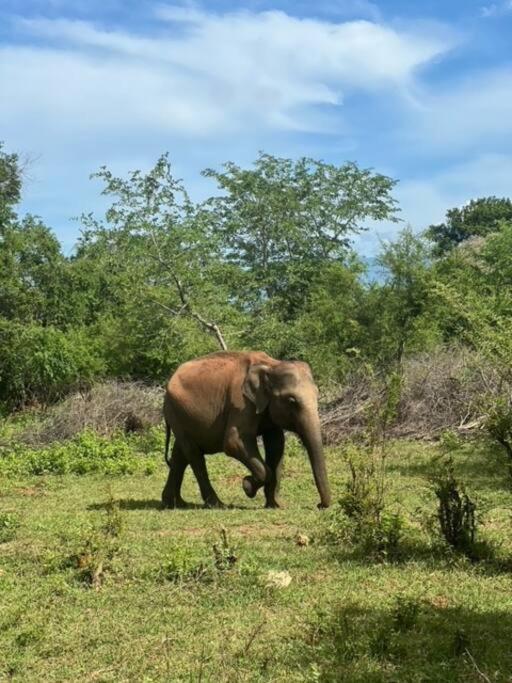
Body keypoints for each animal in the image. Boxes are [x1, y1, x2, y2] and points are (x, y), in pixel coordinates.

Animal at [159, 352, 332, 508]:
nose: (319, 505)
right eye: (291, 401)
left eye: (317, 395)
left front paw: (276, 505)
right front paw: (247, 486)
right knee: (194, 456)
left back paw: (174, 503)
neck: (270, 364)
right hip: (176, 411)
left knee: (180, 454)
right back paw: (216, 504)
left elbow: (276, 445)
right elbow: (234, 442)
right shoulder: (241, 403)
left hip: (182, 415)